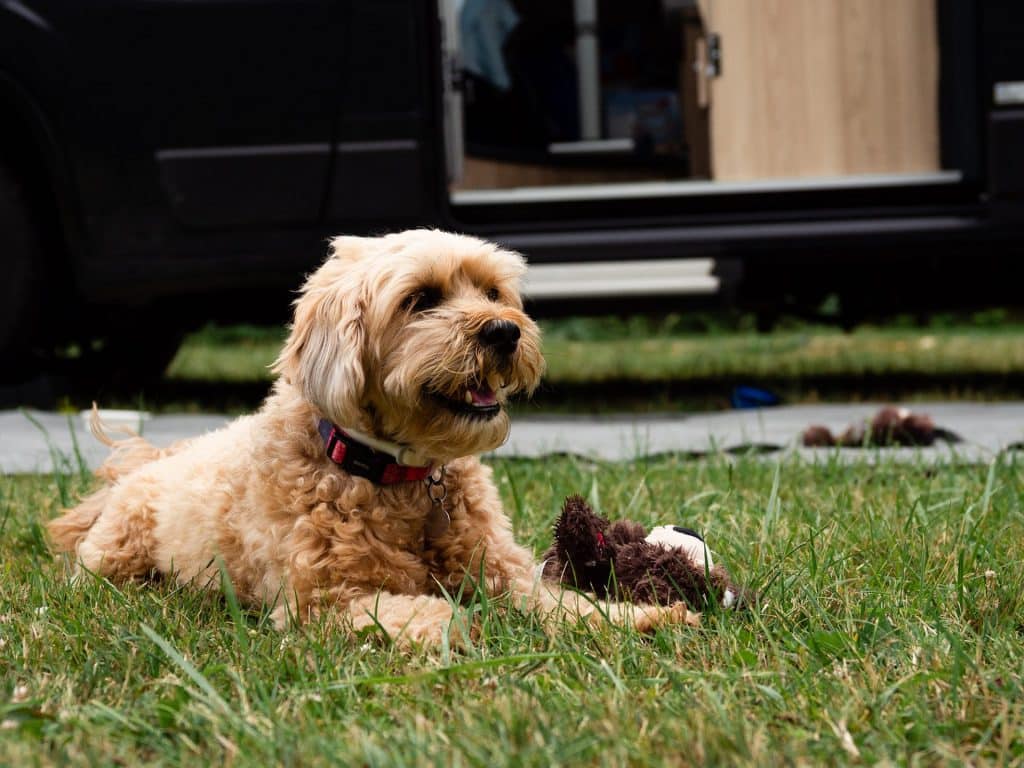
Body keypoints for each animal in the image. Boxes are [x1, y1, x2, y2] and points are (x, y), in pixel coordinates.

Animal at [51, 231, 700, 647]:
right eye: (421, 299)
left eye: (493, 293)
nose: (503, 331)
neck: (402, 479)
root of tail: (152, 460)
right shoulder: (325, 602)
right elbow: (431, 613)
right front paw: (466, 628)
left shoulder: (503, 571)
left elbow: (557, 601)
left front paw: (640, 617)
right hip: (117, 558)